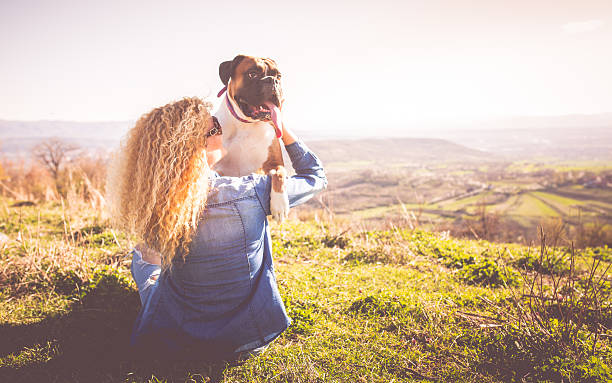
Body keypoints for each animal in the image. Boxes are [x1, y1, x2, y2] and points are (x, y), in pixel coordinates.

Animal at [213, 54, 290, 222]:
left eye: (278, 76)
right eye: (252, 74)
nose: (272, 80)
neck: (245, 125)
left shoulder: (275, 163)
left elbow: (279, 175)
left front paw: (280, 205)